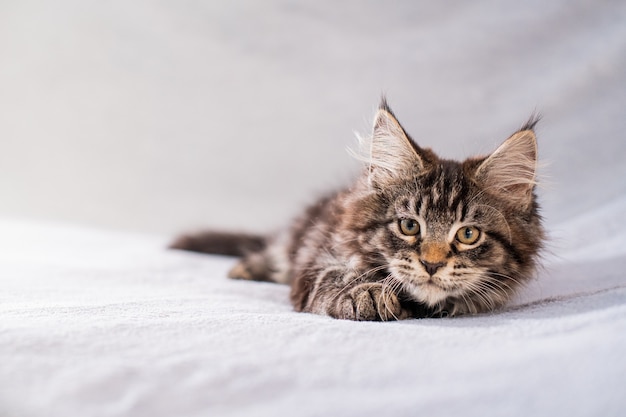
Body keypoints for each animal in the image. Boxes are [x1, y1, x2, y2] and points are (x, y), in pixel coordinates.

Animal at [171, 99, 540, 320]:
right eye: (409, 226)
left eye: (468, 234)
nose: (432, 265)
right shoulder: (317, 255)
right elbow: (335, 274)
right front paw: (366, 293)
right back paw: (249, 267)